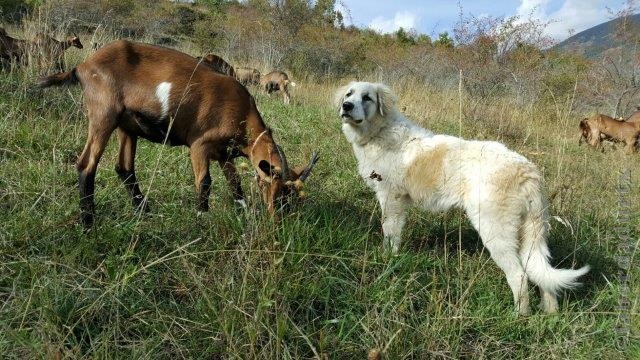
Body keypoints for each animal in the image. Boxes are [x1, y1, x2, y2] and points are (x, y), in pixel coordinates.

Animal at [336, 82, 592, 316]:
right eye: (349, 94)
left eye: (367, 97)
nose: (346, 106)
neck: (379, 130)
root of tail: (527, 172)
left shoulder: (392, 199)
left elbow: (390, 234)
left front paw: (388, 258)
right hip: (530, 237)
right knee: (543, 279)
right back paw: (550, 315)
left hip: (495, 233)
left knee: (519, 276)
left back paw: (519, 317)